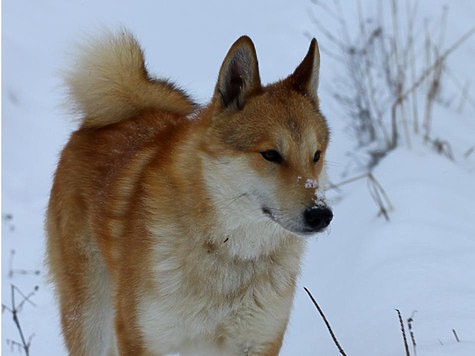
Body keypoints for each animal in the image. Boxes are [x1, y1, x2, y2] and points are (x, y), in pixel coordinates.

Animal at [46, 29, 332, 354]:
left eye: (316, 155)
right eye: (271, 154)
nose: (321, 214)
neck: (227, 252)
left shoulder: (257, 340)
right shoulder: (141, 337)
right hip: (91, 321)